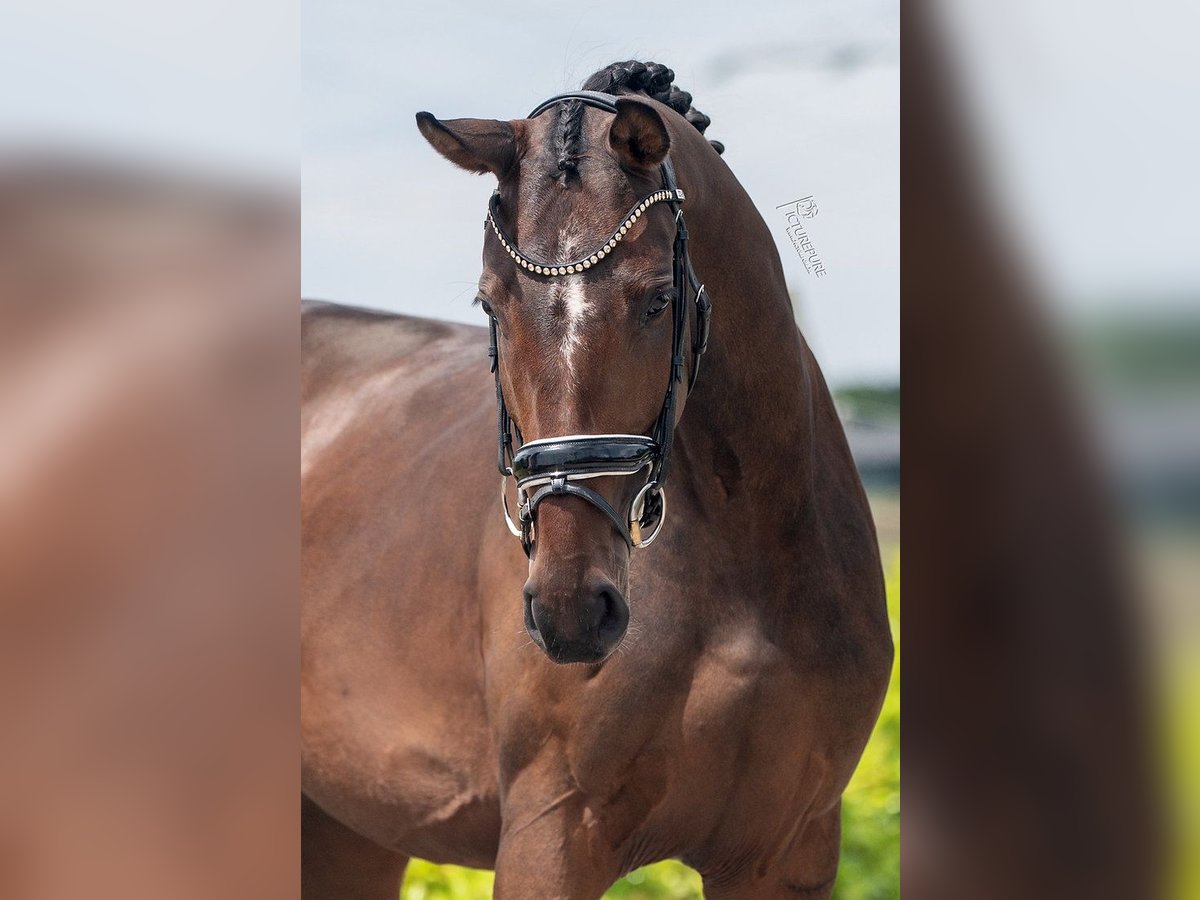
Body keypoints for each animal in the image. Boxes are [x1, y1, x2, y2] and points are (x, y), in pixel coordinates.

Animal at [300, 60, 892, 897]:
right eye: (490, 304)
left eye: (658, 299)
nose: (572, 610)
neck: (749, 560)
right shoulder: (553, 835)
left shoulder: (787, 854)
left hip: (348, 828)